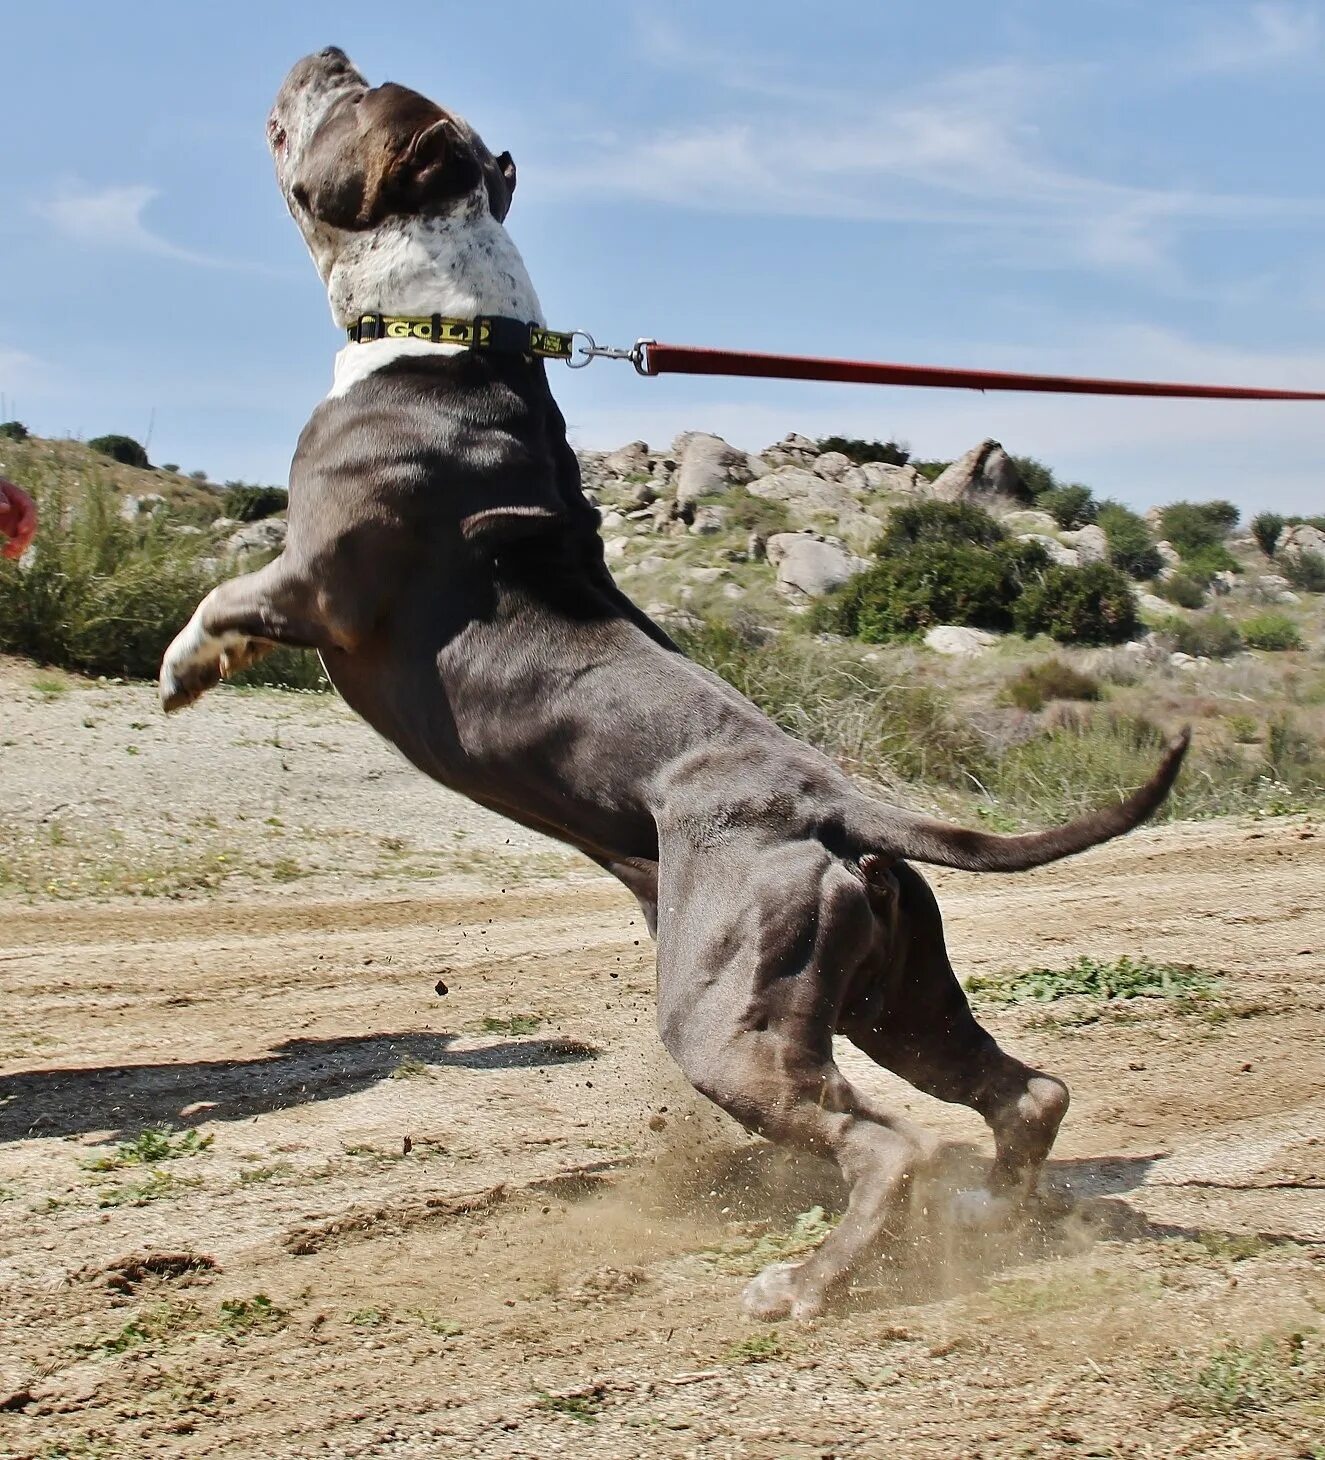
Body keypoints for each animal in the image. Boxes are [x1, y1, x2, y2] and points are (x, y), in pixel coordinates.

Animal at [157, 48, 1190, 1325]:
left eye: (354, 99)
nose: (329, 52)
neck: (448, 323)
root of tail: (832, 804)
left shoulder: (321, 579)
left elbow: (227, 591)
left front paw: (183, 665)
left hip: (725, 1015)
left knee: (883, 1142)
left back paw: (806, 1281)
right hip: (892, 990)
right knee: (1020, 1089)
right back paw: (991, 1214)